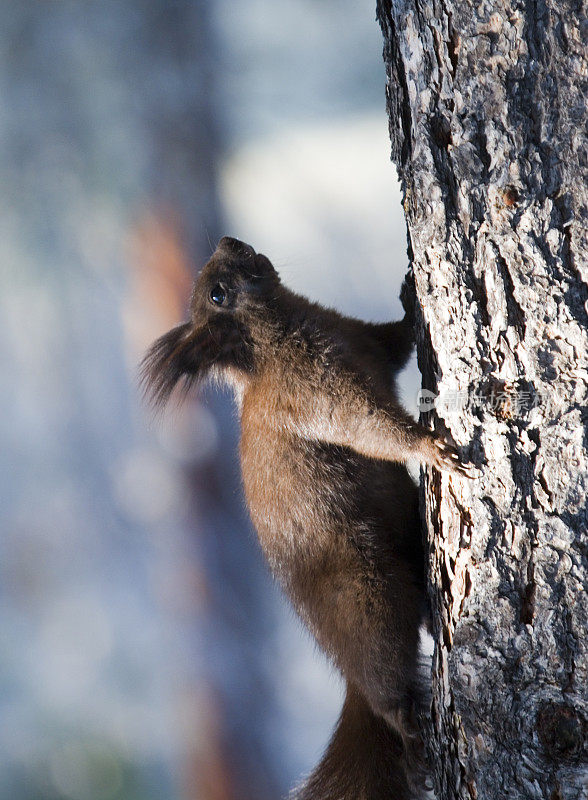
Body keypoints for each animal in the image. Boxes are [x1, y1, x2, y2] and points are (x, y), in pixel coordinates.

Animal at [142, 238, 474, 800]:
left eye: (221, 263)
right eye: (217, 293)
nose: (233, 243)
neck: (288, 328)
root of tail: (348, 675)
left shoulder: (364, 341)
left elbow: (396, 342)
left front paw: (411, 297)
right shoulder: (318, 392)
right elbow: (371, 429)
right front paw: (431, 447)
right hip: (369, 599)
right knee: (389, 688)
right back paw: (411, 737)